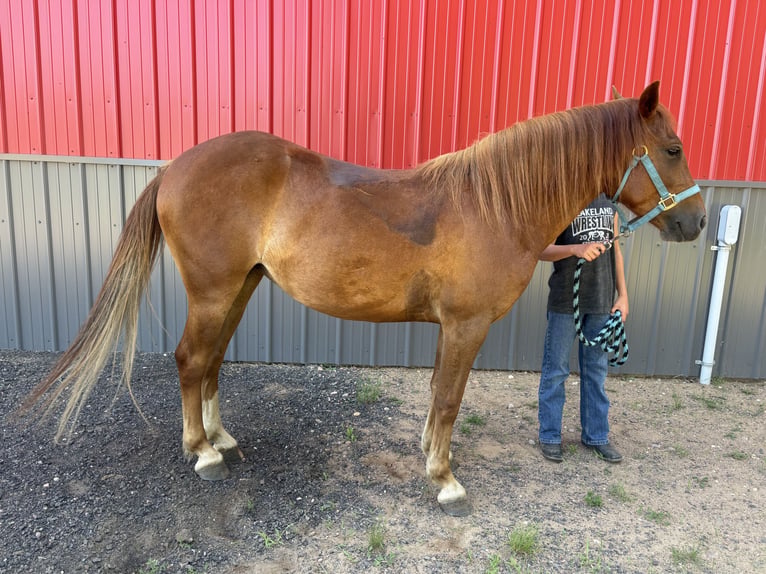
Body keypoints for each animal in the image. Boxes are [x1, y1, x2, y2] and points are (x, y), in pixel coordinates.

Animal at [23, 81, 705, 516]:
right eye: (672, 149)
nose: (696, 222)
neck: (493, 204)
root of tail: (175, 167)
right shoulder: (467, 325)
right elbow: (450, 399)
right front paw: (445, 482)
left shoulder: (450, 327)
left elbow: (436, 395)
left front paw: (430, 456)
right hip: (214, 292)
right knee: (191, 361)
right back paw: (202, 454)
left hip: (242, 286)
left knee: (211, 362)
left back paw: (221, 439)